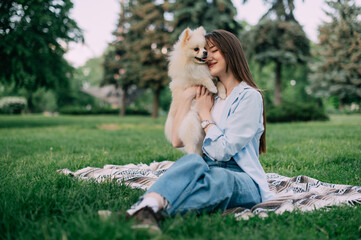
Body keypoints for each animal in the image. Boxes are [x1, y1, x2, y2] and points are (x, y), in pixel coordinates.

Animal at [164, 25, 225, 154]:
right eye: (196, 49)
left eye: (205, 48)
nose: (205, 52)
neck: (197, 65)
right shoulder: (190, 79)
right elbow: (203, 78)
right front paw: (212, 88)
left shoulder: (212, 76)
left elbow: (219, 82)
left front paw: (221, 92)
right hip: (191, 122)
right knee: (190, 144)